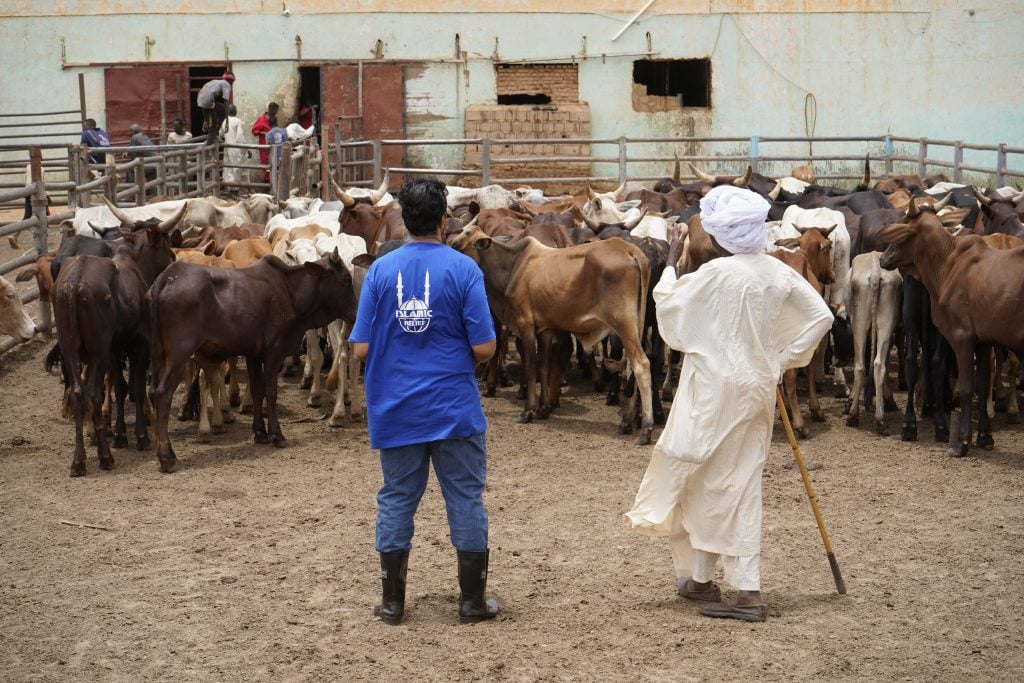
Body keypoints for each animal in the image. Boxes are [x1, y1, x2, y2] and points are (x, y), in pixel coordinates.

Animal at [148, 253, 360, 473]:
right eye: (346, 279)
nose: (356, 313)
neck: (290, 291)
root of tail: (168, 276)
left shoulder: (253, 354)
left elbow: (258, 390)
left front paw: (260, 433)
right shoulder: (274, 350)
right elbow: (271, 392)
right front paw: (277, 435)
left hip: (158, 354)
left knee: (152, 391)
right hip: (179, 353)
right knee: (162, 393)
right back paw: (167, 457)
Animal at [450, 223, 655, 444]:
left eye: (456, 246)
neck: (512, 265)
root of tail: (629, 250)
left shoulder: (526, 325)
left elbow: (531, 367)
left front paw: (528, 411)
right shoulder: (545, 329)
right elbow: (544, 366)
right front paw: (544, 408)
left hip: (623, 324)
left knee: (641, 365)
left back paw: (646, 429)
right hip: (636, 325)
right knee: (630, 367)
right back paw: (626, 422)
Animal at [876, 194, 1024, 456]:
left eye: (902, 230)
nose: (883, 258)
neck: (948, 262)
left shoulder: (963, 338)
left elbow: (967, 388)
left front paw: (963, 441)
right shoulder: (983, 341)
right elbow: (982, 384)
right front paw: (984, 435)